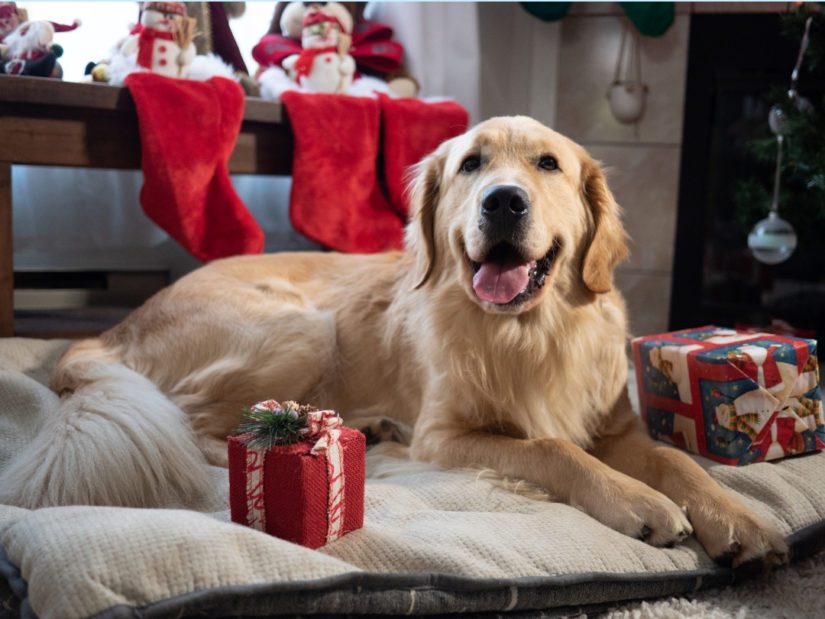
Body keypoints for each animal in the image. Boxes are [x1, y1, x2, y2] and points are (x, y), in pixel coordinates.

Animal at [0, 116, 784, 572]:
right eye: (471, 164)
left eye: (547, 165)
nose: (503, 201)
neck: (528, 330)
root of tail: (110, 330)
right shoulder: (447, 434)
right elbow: (551, 449)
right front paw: (637, 503)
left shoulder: (614, 425)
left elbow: (676, 461)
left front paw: (740, 517)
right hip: (302, 326)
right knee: (193, 424)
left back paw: (371, 426)